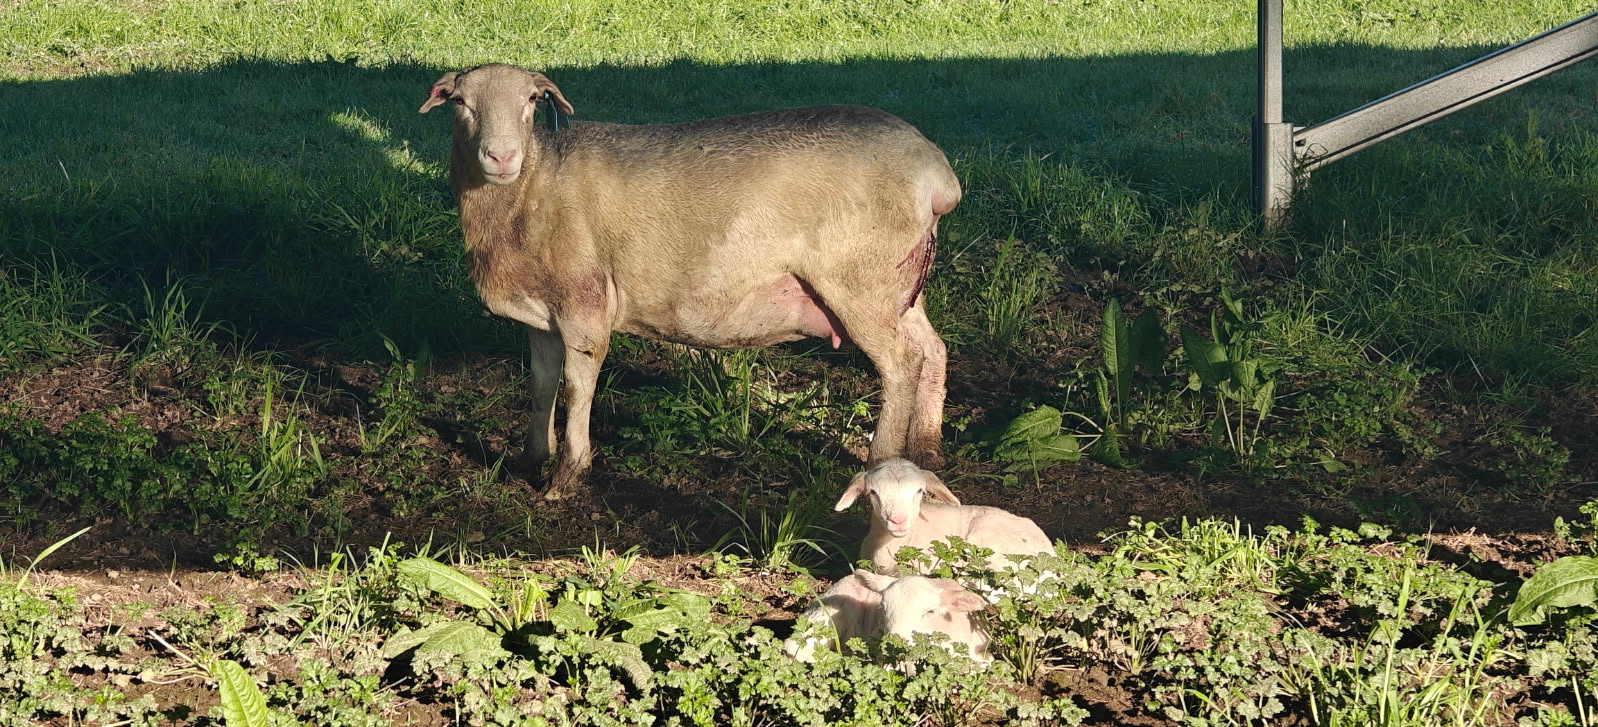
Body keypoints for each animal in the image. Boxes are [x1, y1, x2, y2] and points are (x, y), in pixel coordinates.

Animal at [419, 64, 960, 500]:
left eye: (532, 100)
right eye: (461, 102)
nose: (501, 157)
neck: (533, 184)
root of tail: (936, 174)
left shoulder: (583, 303)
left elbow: (577, 387)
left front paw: (566, 477)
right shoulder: (541, 316)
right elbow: (540, 385)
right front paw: (530, 460)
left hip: (861, 280)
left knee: (901, 363)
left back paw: (881, 461)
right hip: (899, 284)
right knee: (933, 349)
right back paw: (927, 452)